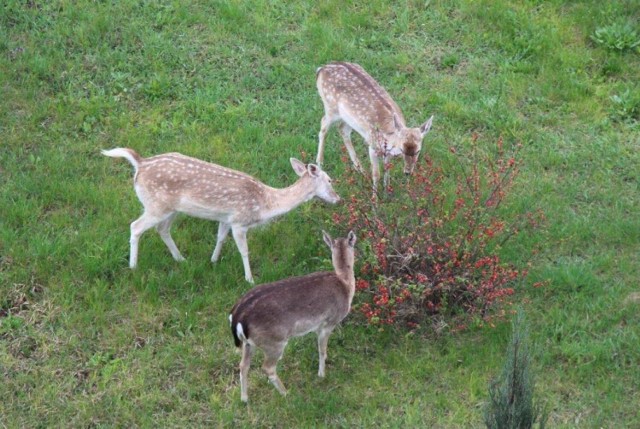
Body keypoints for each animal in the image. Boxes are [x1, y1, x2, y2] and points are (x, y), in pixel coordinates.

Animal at [101, 148, 340, 284]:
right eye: (330, 180)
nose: (338, 198)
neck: (265, 203)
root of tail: (140, 164)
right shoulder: (240, 221)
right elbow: (244, 250)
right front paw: (250, 279)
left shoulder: (226, 219)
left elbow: (220, 238)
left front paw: (213, 260)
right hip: (155, 205)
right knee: (135, 226)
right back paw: (133, 267)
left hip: (170, 208)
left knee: (162, 229)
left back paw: (181, 259)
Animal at [229, 231, 360, 402]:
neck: (344, 283)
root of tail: (237, 317)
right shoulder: (329, 322)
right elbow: (322, 350)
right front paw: (321, 375)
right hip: (274, 341)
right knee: (267, 368)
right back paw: (286, 393)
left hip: (248, 343)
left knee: (243, 365)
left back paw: (244, 399)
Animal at [316, 61, 436, 191]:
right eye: (403, 150)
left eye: (418, 151)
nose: (407, 172)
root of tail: (321, 69)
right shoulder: (372, 145)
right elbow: (376, 174)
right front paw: (375, 195)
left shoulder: (387, 152)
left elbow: (387, 168)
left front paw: (387, 189)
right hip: (330, 107)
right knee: (323, 125)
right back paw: (319, 164)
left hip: (348, 118)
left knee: (342, 129)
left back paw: (360, 169)